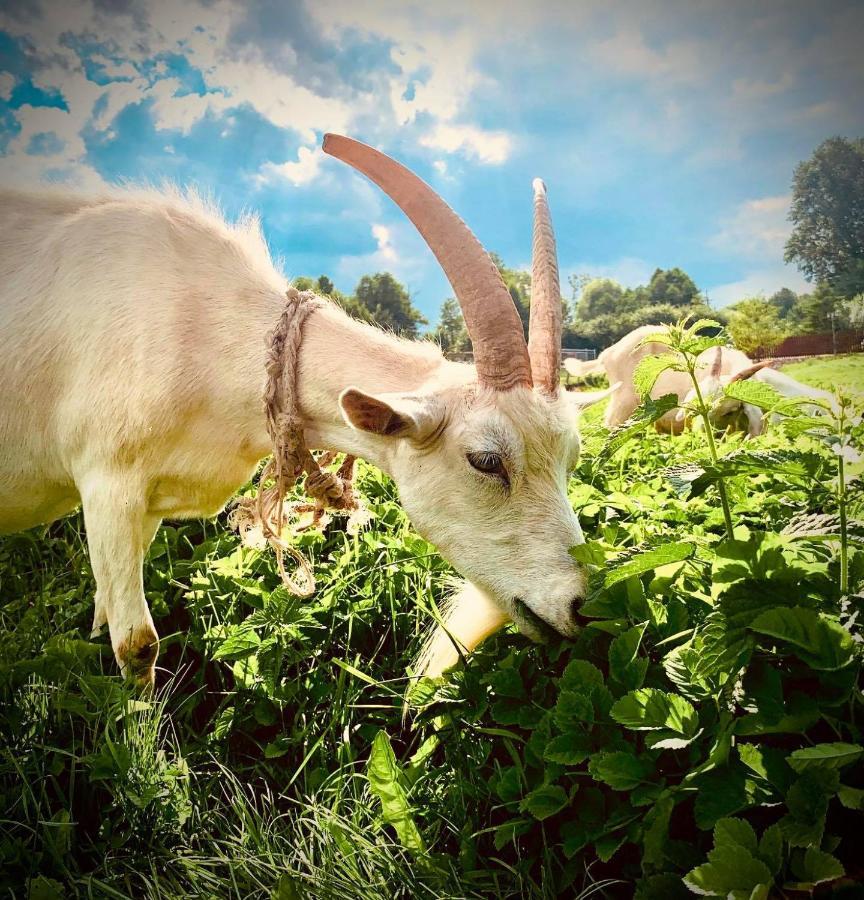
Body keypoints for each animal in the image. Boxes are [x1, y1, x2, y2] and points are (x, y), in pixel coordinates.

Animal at [1, 134, 608, 684]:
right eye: (485, 461)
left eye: (570, 460)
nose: (581, 605)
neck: (203, 328)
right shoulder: (108, 482)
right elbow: (137, 646)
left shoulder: (144, 506)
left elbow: (105, 606)